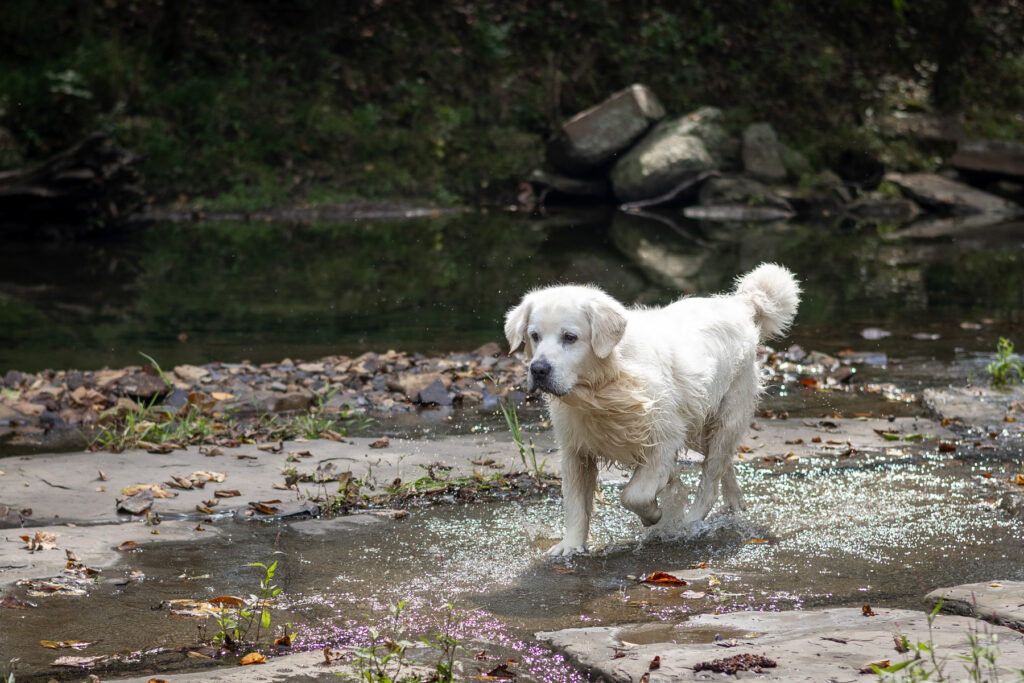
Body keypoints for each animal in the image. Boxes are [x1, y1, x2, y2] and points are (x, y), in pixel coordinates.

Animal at [503, 262, 798, 557]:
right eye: (534, 336)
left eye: (569, 337)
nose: (539, 370)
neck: (605, 385)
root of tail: (739, 304)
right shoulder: (576, 449)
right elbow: (575, 503)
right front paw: (571, 546)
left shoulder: (664, 439)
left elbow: (634, 494)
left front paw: (654, 516)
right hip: (699, 425)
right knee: (724, 464)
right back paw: (734, 503)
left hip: (726, 416)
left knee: (712, 475)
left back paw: (692, 521)